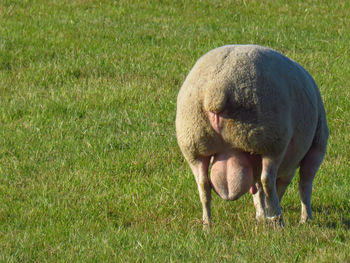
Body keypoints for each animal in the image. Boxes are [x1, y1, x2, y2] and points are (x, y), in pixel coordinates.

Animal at [176, 44, 330, 228]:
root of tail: (217, 91)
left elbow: (257, 190)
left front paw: (261, 214)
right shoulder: (317, 147)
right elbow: (305, 184)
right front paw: (305, 218)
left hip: (193, 145)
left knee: (203, 185)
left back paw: (208, 225)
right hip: (272, 142)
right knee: (267, 180)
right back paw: (278, 220)